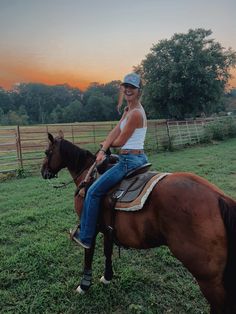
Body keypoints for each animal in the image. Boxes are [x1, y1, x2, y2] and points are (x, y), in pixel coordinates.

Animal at [41, 133, 236, 314]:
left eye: (47, 152)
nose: (43, 172)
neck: (88, 176)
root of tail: (219, 197)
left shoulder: (91, 226)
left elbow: (88, 253)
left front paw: (84, 285)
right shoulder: (107, 230)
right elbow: (107, 252)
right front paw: (107, 276)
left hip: (208, 279)